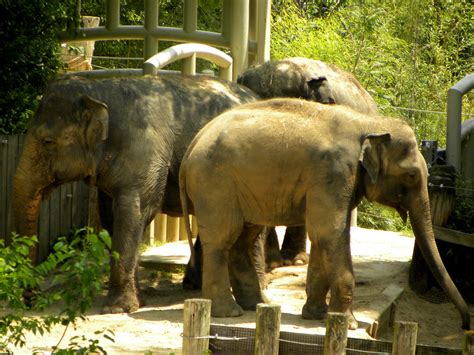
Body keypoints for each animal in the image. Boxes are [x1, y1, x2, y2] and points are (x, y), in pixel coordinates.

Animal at [13, 74, 260, 314]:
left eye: (48, 142)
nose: (31, 299)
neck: (98, 90)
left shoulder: (144, 150)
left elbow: (135, 212)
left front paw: (116, 308)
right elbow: (110, 218)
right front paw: (137, 302)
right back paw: (195, 287)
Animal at [181, 98, 470, 330]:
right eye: (411, 175)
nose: (466, 326)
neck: (370, 124)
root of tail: (193, 143)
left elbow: (323, 237)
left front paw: (317, 316)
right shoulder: (333, 173)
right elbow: (330, 233)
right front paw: (348, 324)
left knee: (243, 238)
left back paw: (258, 305)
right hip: (215, 184)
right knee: (223, 238)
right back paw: (229, 313)